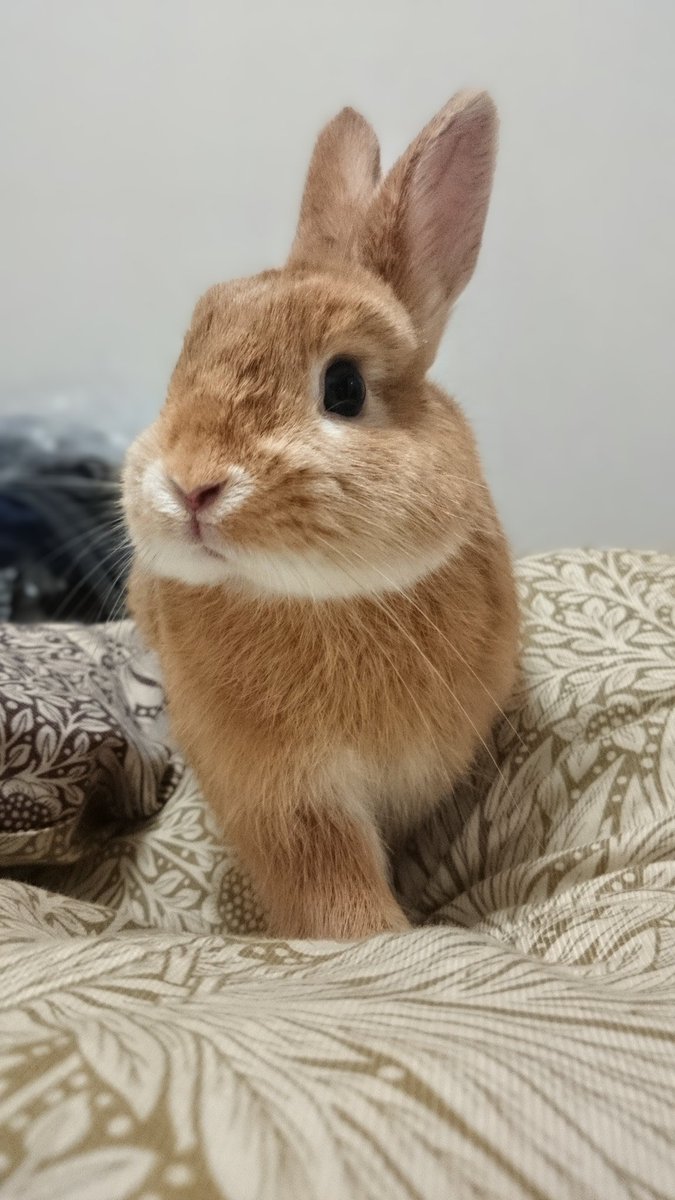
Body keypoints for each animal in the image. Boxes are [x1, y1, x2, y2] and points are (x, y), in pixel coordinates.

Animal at [123, 89, 519, 940]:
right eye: (182, 363)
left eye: (344, 387)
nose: (190, 484)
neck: (323, 600)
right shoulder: (287, 799)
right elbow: (330, 883)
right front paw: (379, 933)